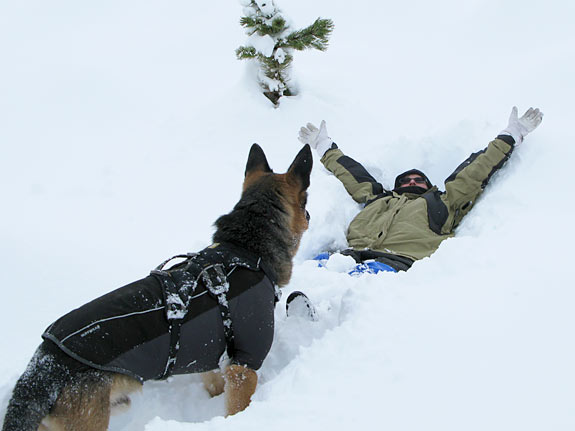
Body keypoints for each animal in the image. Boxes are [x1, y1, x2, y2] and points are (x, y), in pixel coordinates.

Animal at [2, 144, 312, 431]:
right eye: (306, 203)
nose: (309, 216)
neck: (246, 248)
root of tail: (43, 368)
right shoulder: (245, 365)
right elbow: (238, 404)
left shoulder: (209, 358)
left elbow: (214, 384)